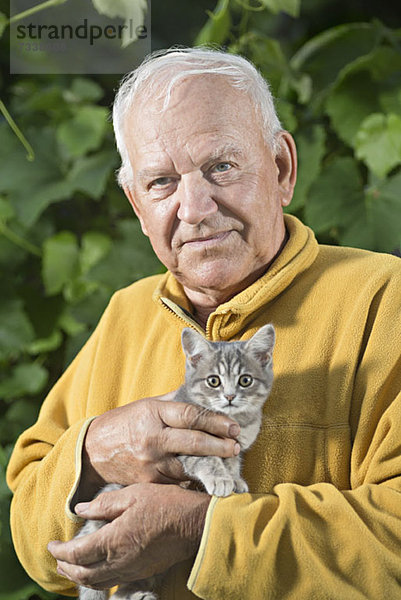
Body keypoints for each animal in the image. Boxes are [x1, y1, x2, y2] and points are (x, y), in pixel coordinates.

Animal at [76, 324, 274, 600]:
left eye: (245, 380)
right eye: (214, 381)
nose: (230, 396)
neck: (235, 420)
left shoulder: (234, 446)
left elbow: (232, 462)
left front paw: (235, 480)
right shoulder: (188, 441)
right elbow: (210, 460)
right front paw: (221, 480)